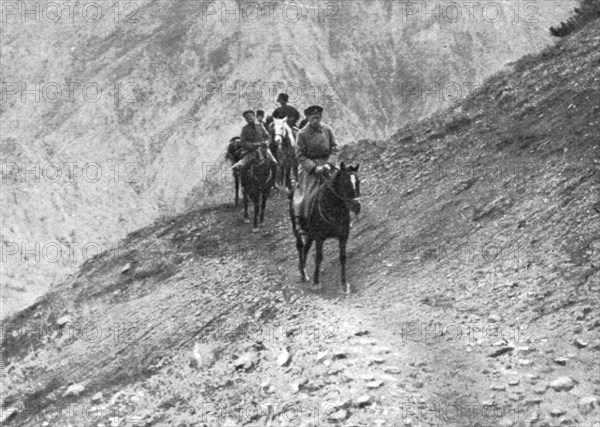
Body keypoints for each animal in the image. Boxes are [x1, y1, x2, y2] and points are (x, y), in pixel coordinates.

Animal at [290, 163, 360, 294]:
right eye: (345, 182)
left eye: (358, 182)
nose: (357, 206)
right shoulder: (319, 237)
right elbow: (319, 257)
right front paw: (316, 282)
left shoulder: (343, 236)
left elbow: (343, 257)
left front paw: (344, 284)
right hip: (297, 230)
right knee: (300, 246)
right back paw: (303, 273)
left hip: (310, 235)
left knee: (306, 247)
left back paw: (303, 268)